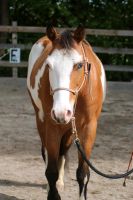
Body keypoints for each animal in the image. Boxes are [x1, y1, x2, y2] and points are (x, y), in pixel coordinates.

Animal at [27, 25, 106, 200]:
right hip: (42, 121)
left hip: (69, 130)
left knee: (62, 153)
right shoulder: (51, 125)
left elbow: (83, 173)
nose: (61, 112)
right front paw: (52, 192)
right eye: (49, 65)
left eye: (79, 65)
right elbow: (51, 171)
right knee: (48, 154)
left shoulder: (89, 128)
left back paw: (60, 183)